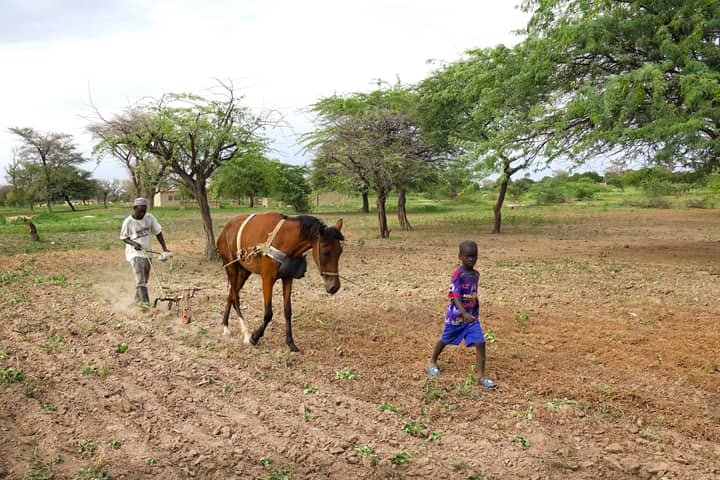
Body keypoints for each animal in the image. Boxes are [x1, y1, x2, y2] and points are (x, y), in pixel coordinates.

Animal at [216, 212, 344, 352]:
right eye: (326, 252)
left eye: (340, 252)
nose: (335, 286)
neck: (284, 240)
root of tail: (225, 230)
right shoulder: (267, 279)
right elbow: (268, 313)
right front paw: (255, 337)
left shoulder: (287, 278)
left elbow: (288, 311)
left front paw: (290, 343)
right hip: (232, 267)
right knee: (235, 298)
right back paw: (245, 332)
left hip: (244, 271)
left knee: (231, 295)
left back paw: (225, 326)